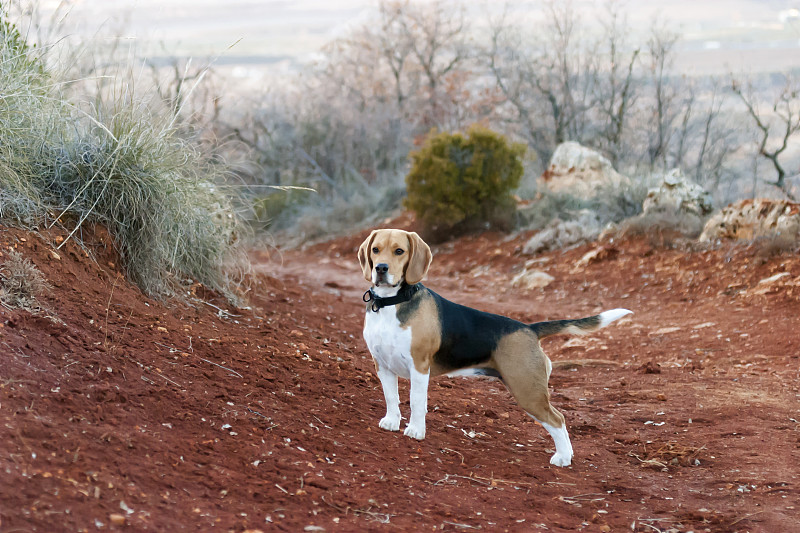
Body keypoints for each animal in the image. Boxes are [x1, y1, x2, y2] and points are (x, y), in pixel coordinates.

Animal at [358, 229, 632, 466]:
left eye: (399, 251)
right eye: (375, 249)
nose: (381, 268)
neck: (391, 303)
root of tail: (530, 328)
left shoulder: (419, 367)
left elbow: (416, 401)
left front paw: (415, 430)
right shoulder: (382, 365)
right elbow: (391, 397)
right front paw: (392, 422)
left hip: (527, 391)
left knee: (558, 419)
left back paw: (563, 458)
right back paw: (568, 455)